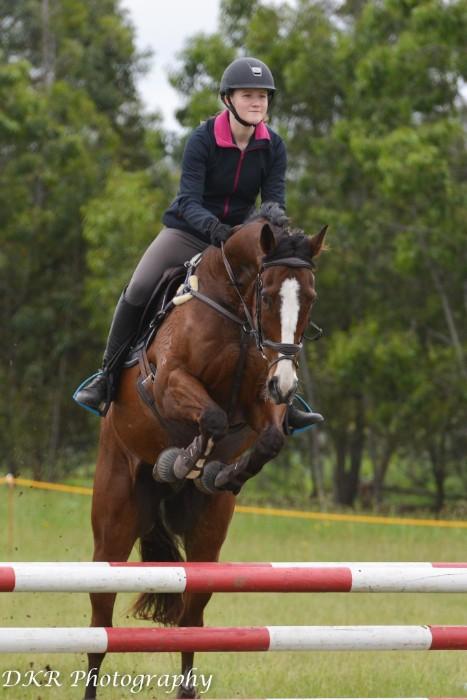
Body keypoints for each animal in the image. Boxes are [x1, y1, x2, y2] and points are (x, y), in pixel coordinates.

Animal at [85, 206, 327, 699]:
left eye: (310, 298)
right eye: (267, 295)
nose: (287, 382)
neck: (235, 310)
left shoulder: (260, 398)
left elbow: (269, 438)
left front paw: (221, 473)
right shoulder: (168, 381)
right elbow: (211, 418)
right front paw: (182, 461)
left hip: (207, 540)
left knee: (192, 617)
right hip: (113, 523)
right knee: (101, 622)